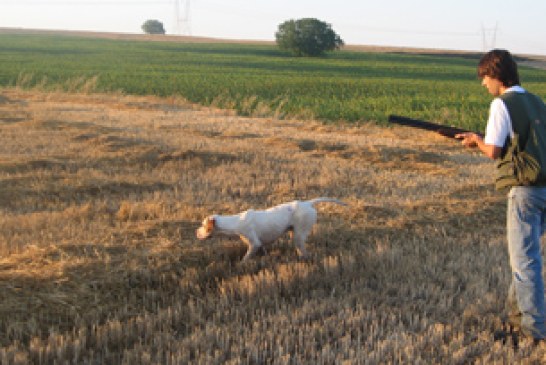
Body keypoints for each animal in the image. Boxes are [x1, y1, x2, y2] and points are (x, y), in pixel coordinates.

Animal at [194, 198, 344, 260]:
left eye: (203, 225)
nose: (196, 232)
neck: (235, 222)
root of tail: (307, 203)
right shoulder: (260, 245)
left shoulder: (254, 244)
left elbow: (245, 258)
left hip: (299, 234)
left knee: (303, 250)